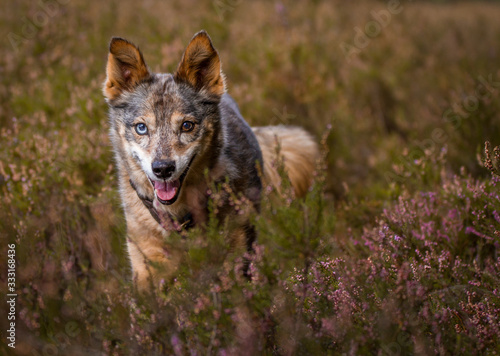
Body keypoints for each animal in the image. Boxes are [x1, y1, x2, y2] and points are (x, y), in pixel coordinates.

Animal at [103, 30, 318, 290]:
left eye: (187, 126)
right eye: (141, 128)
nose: (163, 169)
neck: (179, 217)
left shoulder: (233, 260)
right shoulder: (148, 267)